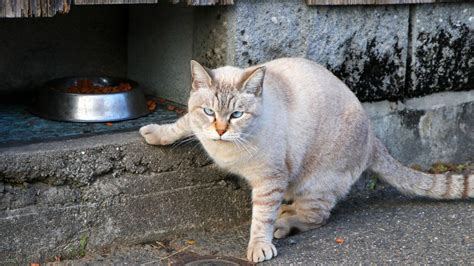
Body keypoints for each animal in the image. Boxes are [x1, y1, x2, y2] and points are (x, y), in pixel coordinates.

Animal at [139, 57, 472, 262]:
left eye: (236, 115)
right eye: (209, 112)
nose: (220, 130)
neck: (225, 148)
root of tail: (373, 138)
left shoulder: (270, 181)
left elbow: (261, 219)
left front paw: (259, 246)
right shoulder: (196, 124)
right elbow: (181, 123)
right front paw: (154, 132)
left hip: (313, 185)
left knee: (316, 217)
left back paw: (283, 223)